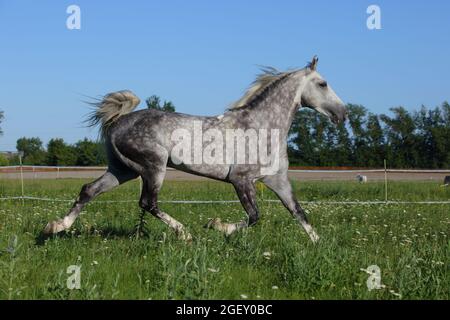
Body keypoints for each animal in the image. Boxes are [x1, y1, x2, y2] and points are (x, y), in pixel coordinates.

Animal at [44, 57, 348, 242]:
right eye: (322, 83)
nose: (343, 113)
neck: (262, 126)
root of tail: (119, 120)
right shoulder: (241, 180)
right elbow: (254, 216)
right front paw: (218, 226)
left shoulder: (278, 181)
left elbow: (299, 213)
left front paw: (320, 246)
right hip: (153, 167)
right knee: (148, 203)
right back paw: (185, 234)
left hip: (123, 170)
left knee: (89, 190)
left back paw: (55, 227)